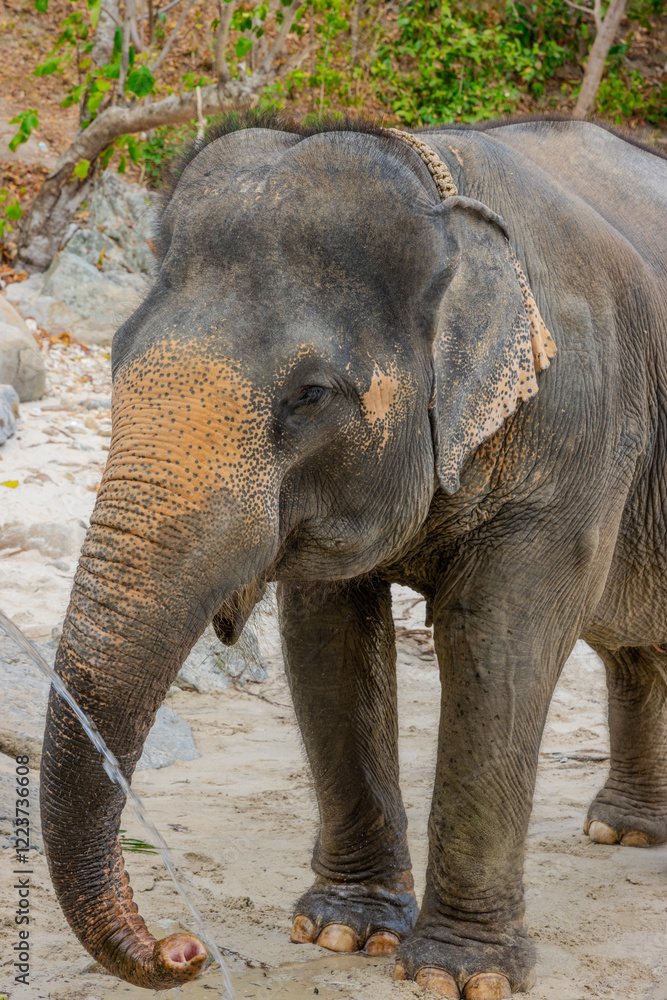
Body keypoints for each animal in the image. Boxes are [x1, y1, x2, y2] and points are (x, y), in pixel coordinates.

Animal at [40, 111, 667, 999]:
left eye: (309, 395)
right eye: (118, 354)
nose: (181, 949)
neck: (436, 177)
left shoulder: (579, 417)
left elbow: (498, 636)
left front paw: (456, 974)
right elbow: (326, 633)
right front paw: (344, 933)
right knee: (633, 651)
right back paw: (625, 834)